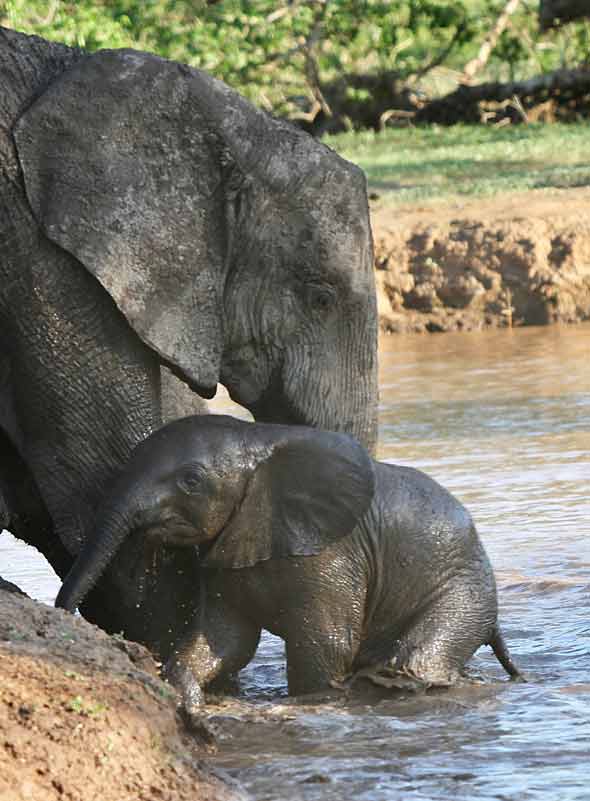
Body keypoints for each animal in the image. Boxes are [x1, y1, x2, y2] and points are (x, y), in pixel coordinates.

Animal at [57, 412, 524, 708]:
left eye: (191, 480)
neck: (256, 441)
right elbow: (226, 639)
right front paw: (186, 696)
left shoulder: (331, 554)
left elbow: (323, 646)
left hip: (465, 591)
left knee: (416, 660)